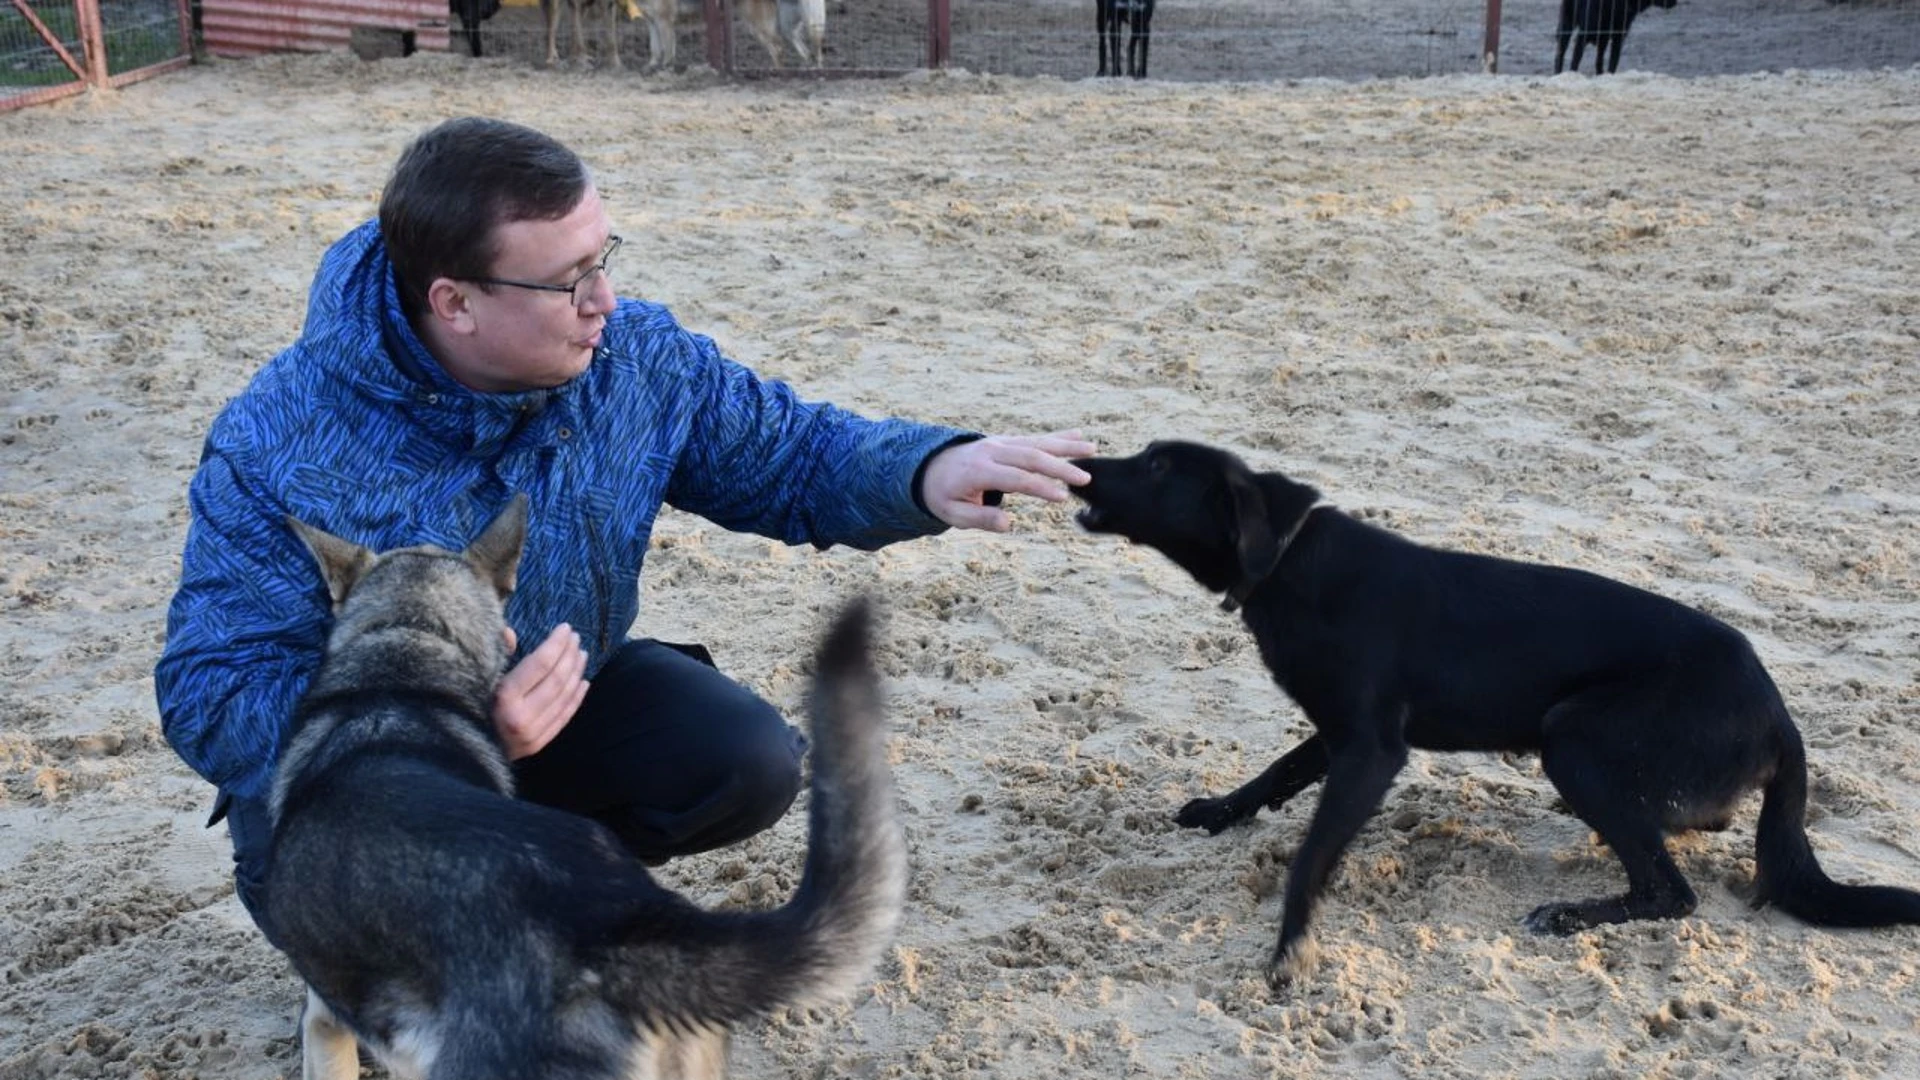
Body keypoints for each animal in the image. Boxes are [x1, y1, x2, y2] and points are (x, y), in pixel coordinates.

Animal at [1067, 438, 1920, 983]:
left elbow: (1312, 853)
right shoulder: (1343, 733)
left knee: (1670, 893)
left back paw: (1572, 915)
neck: (1287, 560)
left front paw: (1291, 947)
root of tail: (1781, 715)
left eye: (1156, 465)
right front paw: (1219, 811)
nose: (1079, 467)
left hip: (1573, 738)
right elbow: (1276, 772)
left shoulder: (1371, 750)